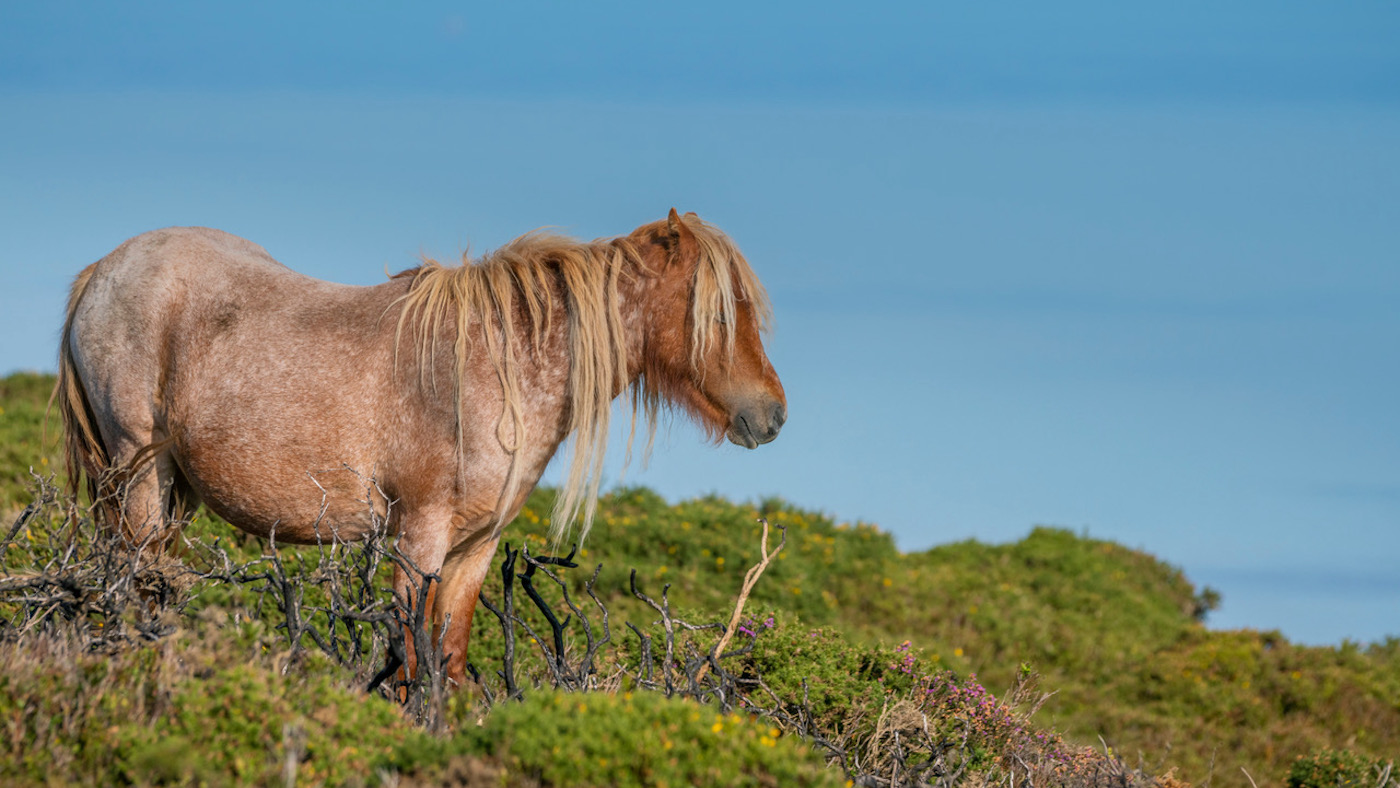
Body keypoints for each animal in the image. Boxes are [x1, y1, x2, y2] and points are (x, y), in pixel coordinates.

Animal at [55, 209, 786, 686]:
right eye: (719, 313)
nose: (772, 414)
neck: (497, 368)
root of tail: (103, 270)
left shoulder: (474, 548)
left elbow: (449, 657)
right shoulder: (418, 539)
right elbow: (408, 657)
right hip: (139, 473)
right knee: (138, 584)